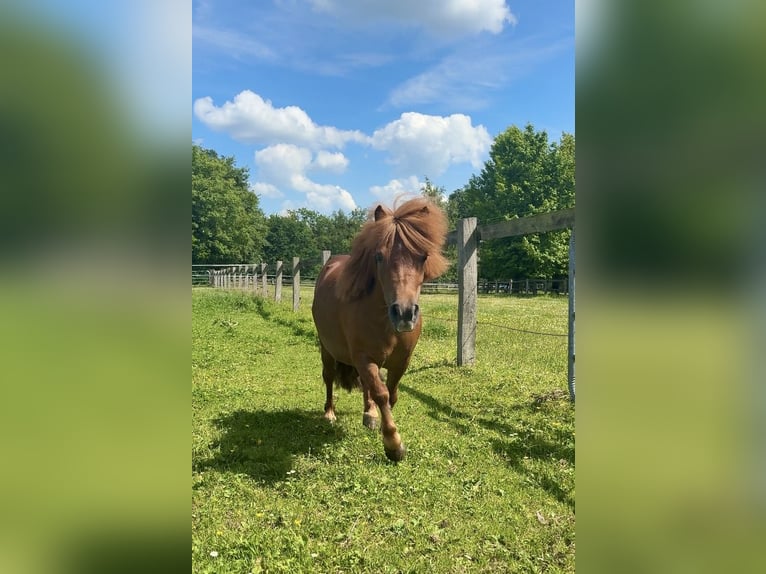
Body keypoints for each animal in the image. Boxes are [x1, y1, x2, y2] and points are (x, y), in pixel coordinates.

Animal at [311, 197, 448, 461]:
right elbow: (382, 394)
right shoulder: (364, 358)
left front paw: (379, 422)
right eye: (379, 256)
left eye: (423, 257)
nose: (404, 313)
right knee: (329, 377)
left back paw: (369, 415)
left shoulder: (401, 361)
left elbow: (390, 393)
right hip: (327, 349)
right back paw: (329, 413)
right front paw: (393, 444)